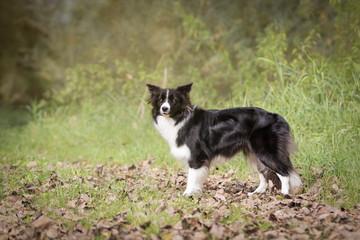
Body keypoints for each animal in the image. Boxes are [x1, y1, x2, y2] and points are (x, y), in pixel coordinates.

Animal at [146, 83, 300, 197]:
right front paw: (195, 192)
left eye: (173, 101)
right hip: (253, 154)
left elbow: (191, 177)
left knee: (284, 172)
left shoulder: (196, 156)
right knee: (264, 174)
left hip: (265, 151)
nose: (164, 108)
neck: (179, 118)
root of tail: (275, 116)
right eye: (160, 100)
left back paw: (285, 195)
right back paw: (256, 193)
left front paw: (188, 193)